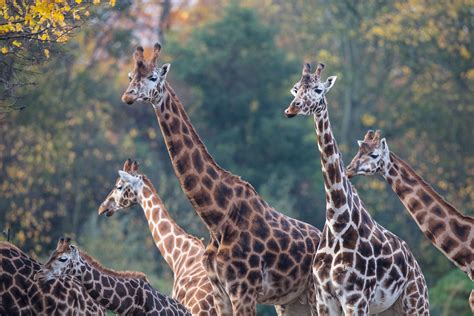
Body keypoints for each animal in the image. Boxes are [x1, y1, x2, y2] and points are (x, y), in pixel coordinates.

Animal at [120, 43, 320, 314]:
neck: (217, 217)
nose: (128, 96)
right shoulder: (220, 291)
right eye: (131, 76)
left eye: (153, 77)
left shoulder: (243, 291)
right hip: (290, 300)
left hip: (318, 294)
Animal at [284, 60, 432, 314]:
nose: (292, 109)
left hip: (416, 302)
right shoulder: (324, 299)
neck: (338, 221)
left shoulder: (355, 298)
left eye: (318, 90)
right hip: (387, 309)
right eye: (296, 89)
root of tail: (415, 263)